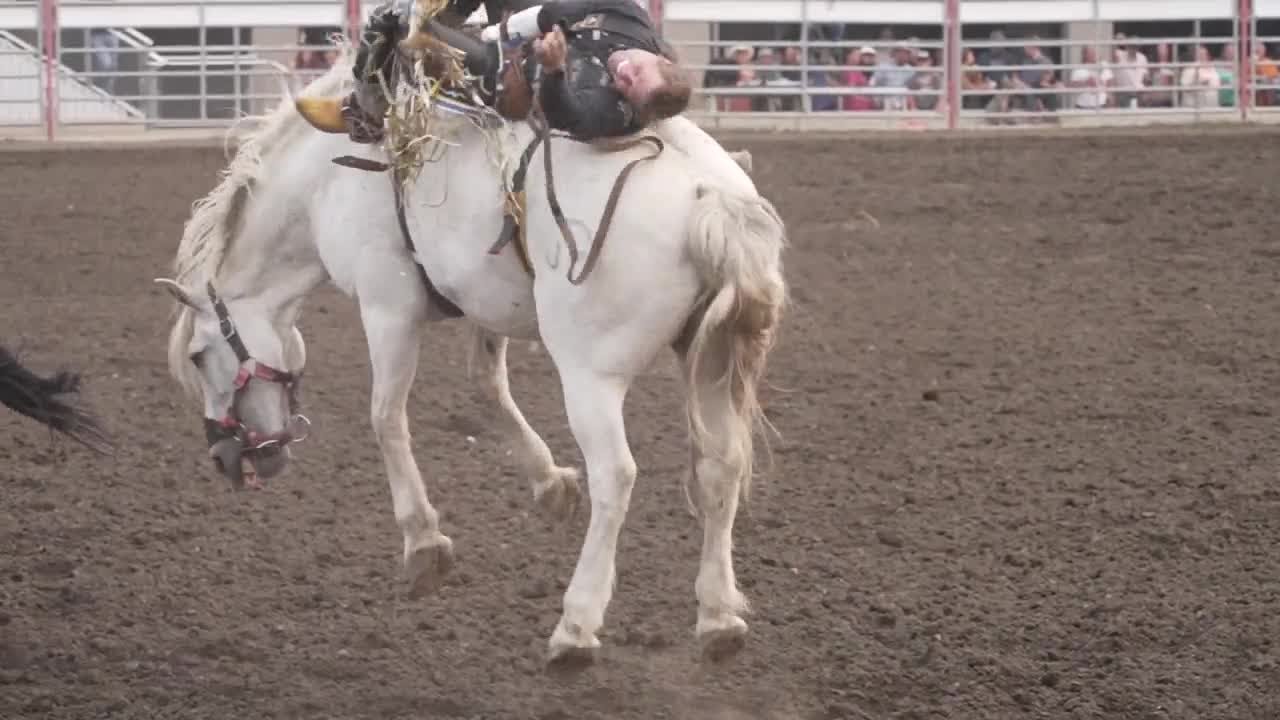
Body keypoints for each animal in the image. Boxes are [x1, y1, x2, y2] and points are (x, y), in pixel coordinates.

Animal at [155, 45, 788, 665]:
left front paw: (423, 544)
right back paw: (718, 617)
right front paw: (550, 483)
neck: (327, 179)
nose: (225, 458)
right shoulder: (486, 299)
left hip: (591, 375)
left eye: (198, 355)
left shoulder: (387, 306)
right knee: (721, 468)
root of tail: (712, 196)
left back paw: (576, 625)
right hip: (710, 362)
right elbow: (485, 387)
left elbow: (385, 418)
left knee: (616, 475)